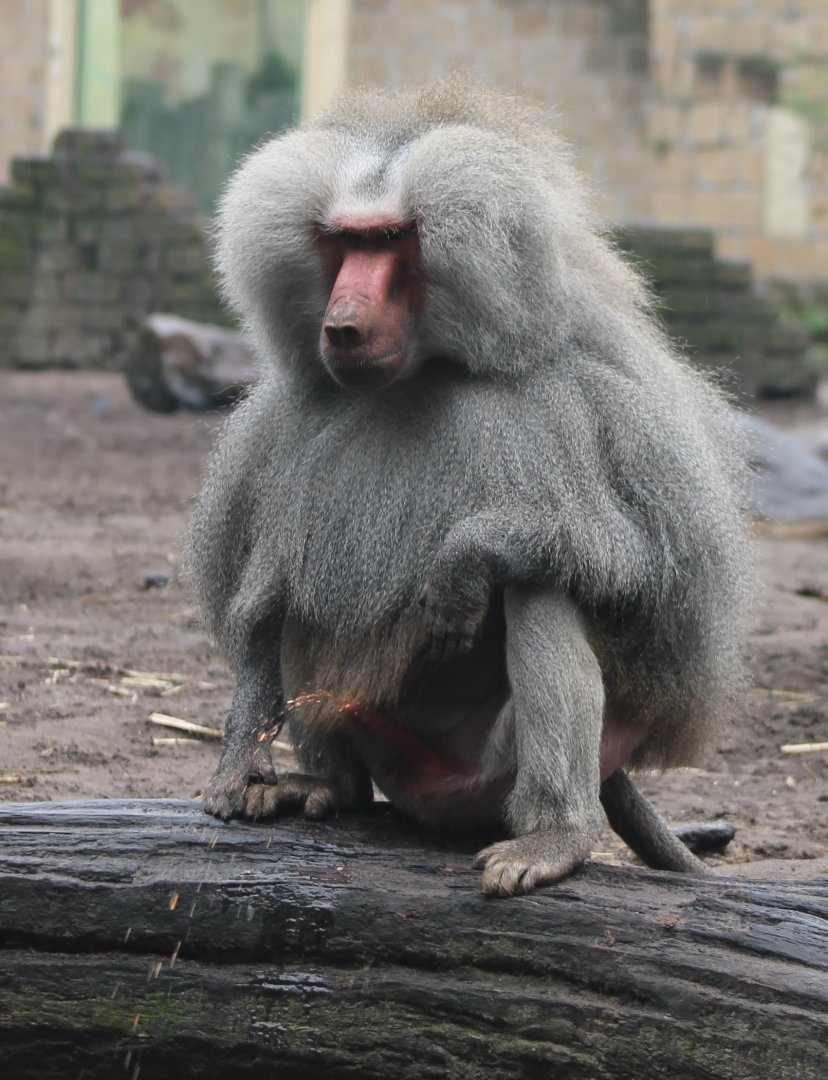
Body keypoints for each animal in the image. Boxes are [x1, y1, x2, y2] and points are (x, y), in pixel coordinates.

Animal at [187, 78, 753, 897]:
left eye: (394, 239)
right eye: (341, 240)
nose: (343, 325)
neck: (425, 371)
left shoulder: (595, 403)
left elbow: (649, 570)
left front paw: (464, 560)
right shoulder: (279, 440)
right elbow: (264, 605)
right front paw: (238, 770)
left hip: (515, 766)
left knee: (541, 586)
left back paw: (554, 836)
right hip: (386, 748)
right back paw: (328, 787)